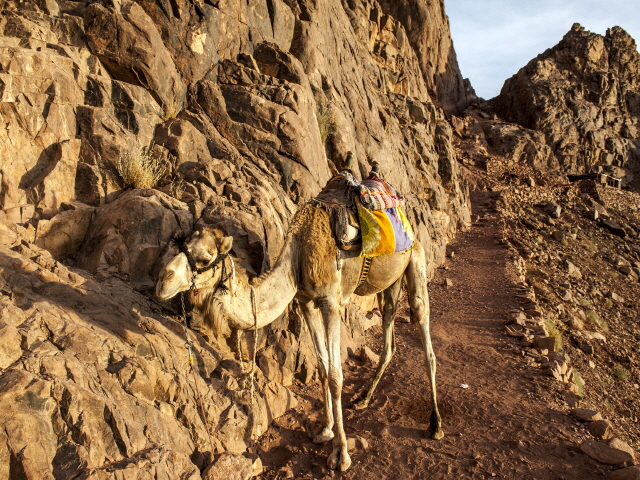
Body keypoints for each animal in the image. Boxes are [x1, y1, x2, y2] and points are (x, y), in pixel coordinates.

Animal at [156, 203, 444, 472]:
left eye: (205, 260)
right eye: (181, 245)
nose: (162, 280)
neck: (297, 256)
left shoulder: (331, 303)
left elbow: (336, 376)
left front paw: (340, 454)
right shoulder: (306, 302)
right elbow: (323, 368)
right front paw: (324, 431)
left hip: (415, 261)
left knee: (426, 337)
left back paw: (435, 424)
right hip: (389, 283)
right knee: (389, 334)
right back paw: (363, 399)